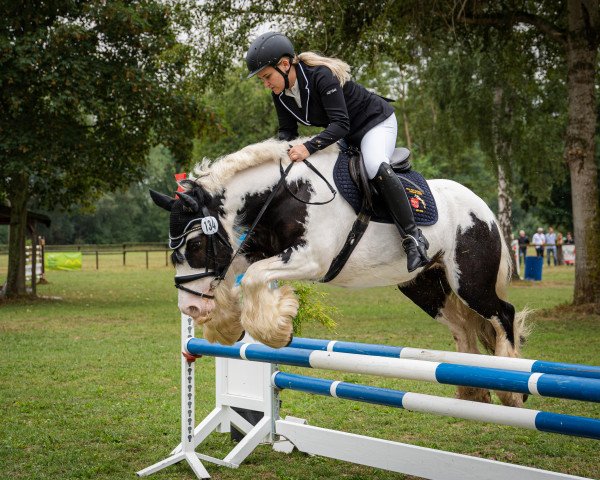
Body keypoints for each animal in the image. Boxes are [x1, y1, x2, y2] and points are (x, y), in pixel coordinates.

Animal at [152, 137, 528, 406]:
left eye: (195, 245)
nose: (190, 308)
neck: (286, 193)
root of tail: (484, 209)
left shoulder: (312, 260)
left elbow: (256, 277)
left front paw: (277, 330)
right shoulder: (254, 250)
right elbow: (239, 276)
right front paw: (226, 323)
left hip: (470, 281)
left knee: (503, 313)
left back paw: (510, 388)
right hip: (423, 286)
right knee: (463, 328)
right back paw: (472, 392)